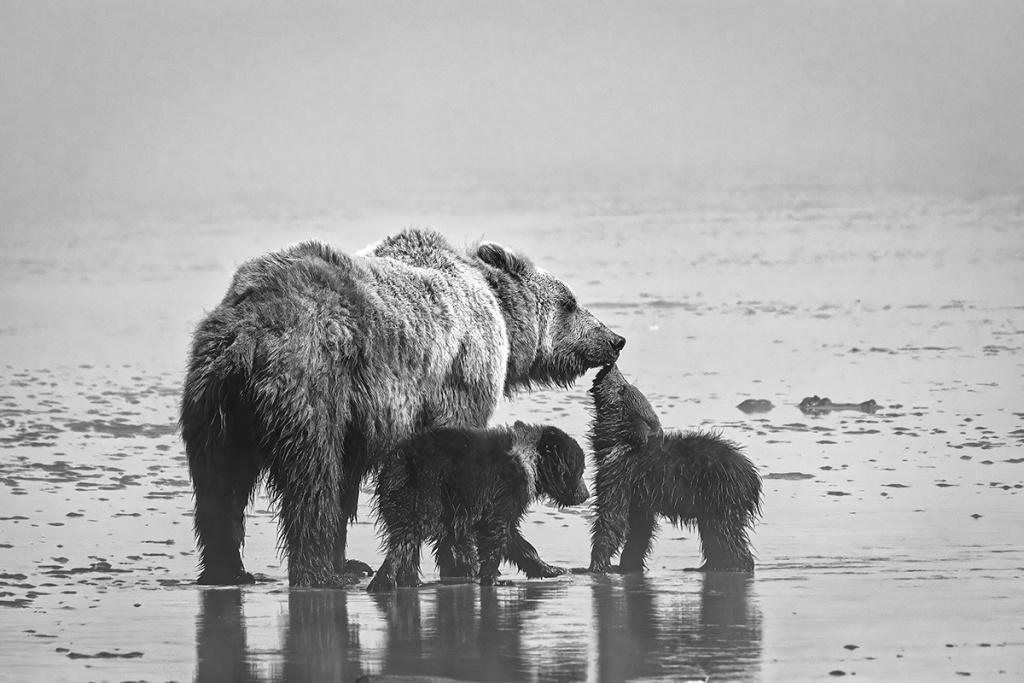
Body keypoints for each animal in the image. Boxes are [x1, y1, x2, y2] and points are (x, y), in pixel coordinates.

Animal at [366, 421, 589, 592]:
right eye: (579, 470)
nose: (585, 495)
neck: (529, 465)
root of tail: (392, 461)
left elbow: (513, 537)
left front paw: (551, 569)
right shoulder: (503, 490)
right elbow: (495, 531)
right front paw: (494, 579)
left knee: (407, 538)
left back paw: (410, 581)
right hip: (424, 489)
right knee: (407, 536)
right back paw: (384, 582)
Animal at [588, 364, 761, 573]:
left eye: (623, 388)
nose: (610, 366)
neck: (617, 443)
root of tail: (751, 477)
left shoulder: (619, 475)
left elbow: (612, 516)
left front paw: (598, 563)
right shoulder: (640, 494)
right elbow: (640, 527)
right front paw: (629, 563)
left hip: (720, 495)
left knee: (724, 534)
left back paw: (733, 564)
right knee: (714, 535)